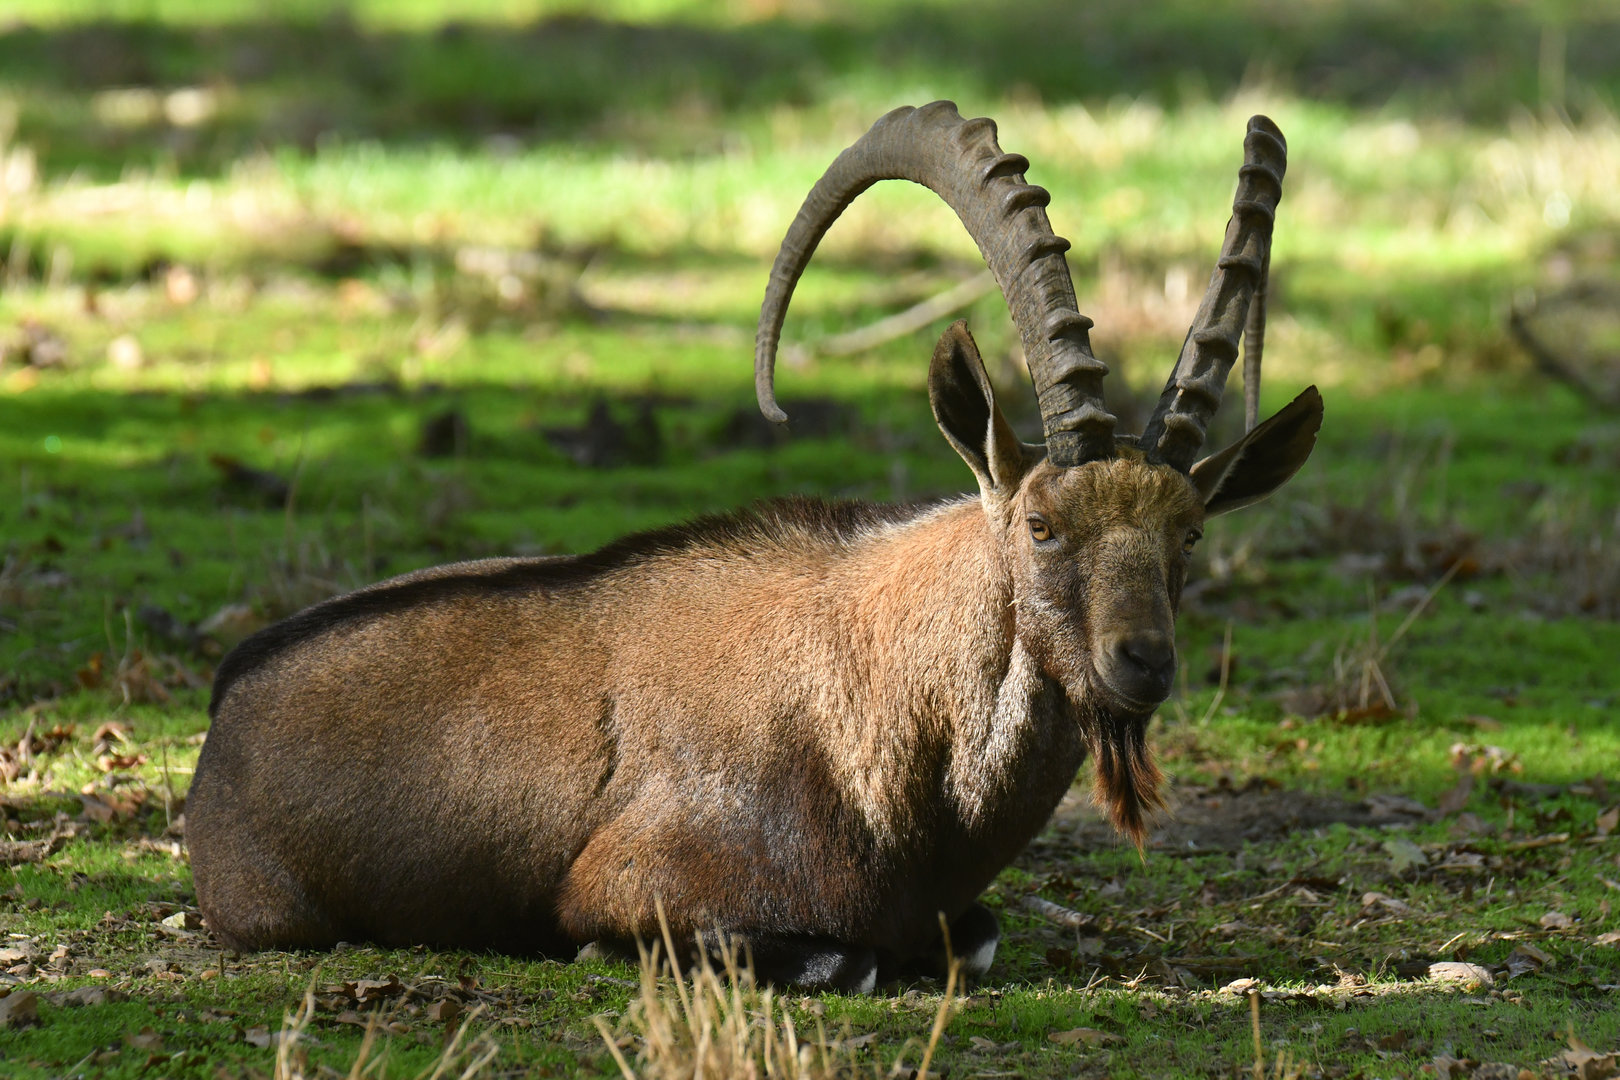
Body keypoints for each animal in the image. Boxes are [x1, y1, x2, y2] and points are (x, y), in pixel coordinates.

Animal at [187, 101, 1320, 992]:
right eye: (1042, 525)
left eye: (1190, 531)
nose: (1143, 662)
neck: (878, 711)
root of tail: (228, 697)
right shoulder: (637, 879)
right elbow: (832, 956)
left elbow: (975, 937)